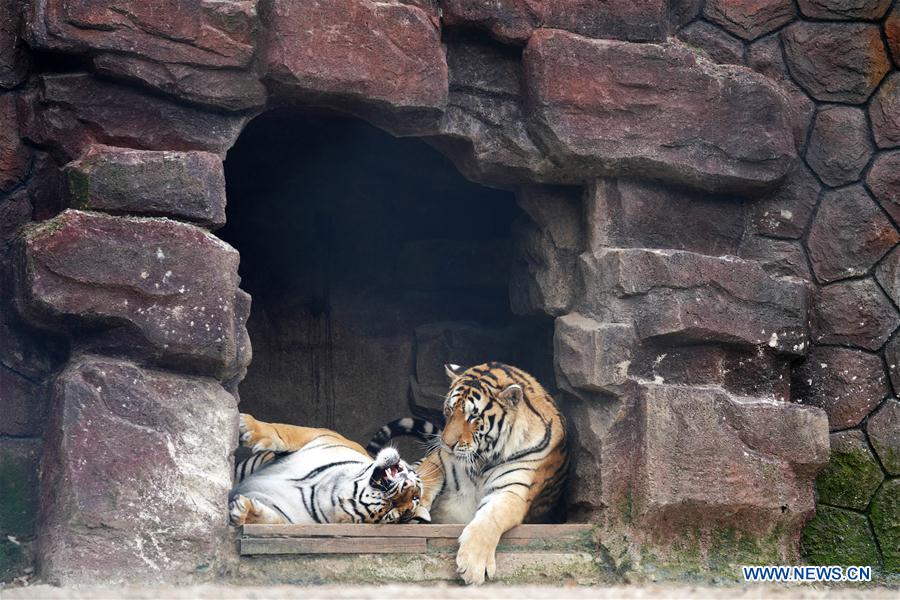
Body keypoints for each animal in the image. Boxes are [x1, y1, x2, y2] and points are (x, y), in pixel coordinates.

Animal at [230, 414, 424, 525]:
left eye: (391, 510)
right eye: (416, 496)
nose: (410, 485)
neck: (331, 491)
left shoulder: (292, 518)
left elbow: (274, 520)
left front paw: (245, 512)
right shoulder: (319, 434)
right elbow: (283, 431)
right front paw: (246, 424)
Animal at [369, 362, 568, 585]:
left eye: (473, 416)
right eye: (449, 410)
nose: (446, 443)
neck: (482, 458)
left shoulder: (511, 491)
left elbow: (490, 518)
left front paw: (473, 565)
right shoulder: (439, 459)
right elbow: (425, 479)